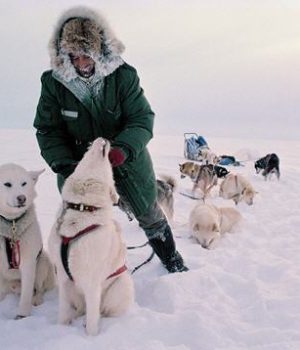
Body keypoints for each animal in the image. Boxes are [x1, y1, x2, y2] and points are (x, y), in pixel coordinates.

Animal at [0, 163, 55, 318]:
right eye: (7, 184)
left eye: (24, 183)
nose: (22, 198)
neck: (11, 223)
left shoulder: (29, 262)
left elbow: (26, 295)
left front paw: (22, 315)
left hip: (42, 262)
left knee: (38, 289)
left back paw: (36, 299)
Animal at [48, 137, 134, 336]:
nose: (103, 138)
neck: (82, 207)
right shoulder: (63, 279)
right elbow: (63, 314)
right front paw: (61, 329)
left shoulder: (92, 283)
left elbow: (93, 321)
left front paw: (90, 337)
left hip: (121, 286)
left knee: (102, 312)